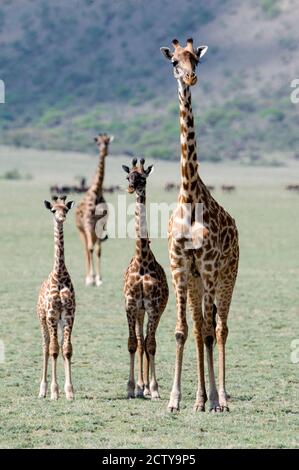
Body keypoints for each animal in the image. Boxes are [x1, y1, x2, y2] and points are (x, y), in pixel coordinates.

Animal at [75, 132, 114, 286]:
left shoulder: (101, 224)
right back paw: (87, 277)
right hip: (81, 230)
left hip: (92, 231)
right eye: (98, 143)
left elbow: (98, 250)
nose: (104, 151)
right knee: (86, 249)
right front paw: (91, 278)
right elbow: (90, 249)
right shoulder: (87, 223)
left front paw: (99, 278)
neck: (97, 192)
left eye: (108, 142)